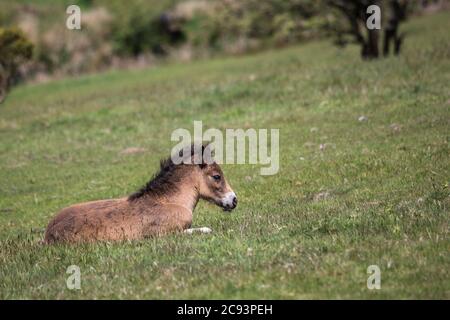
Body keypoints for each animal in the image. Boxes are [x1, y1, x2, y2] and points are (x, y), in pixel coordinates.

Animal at [44, 146, 237, 244]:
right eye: (216, 176)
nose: (234, 200)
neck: (168, 201)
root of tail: (47, 234)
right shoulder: (160, 234)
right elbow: (205, 230)